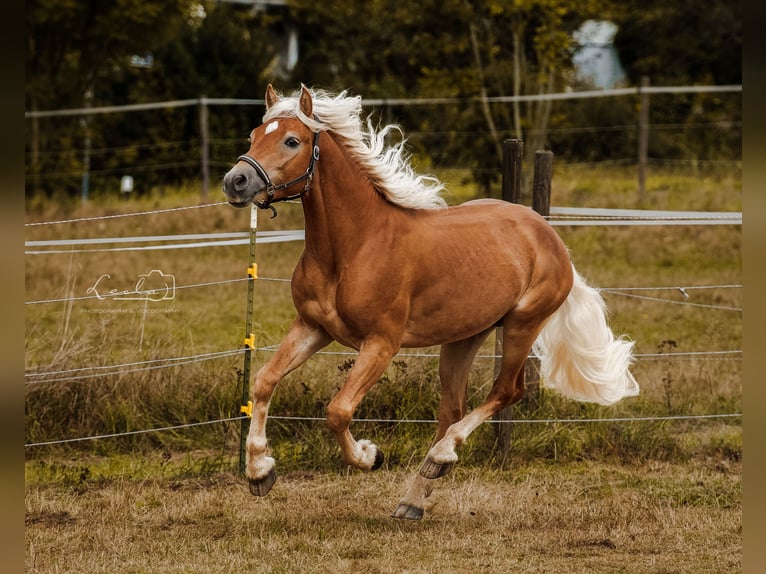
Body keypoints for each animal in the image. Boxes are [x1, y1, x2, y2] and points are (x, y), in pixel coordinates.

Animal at [224, 84, 640, 520]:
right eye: (254, 135)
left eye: (292, 140)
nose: (236, 181)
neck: (353, 247)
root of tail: (548, 235)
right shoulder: (313, 327)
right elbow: (264, 380)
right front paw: (260, 473)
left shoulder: (381, 344)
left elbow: (338, 411)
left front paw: (370, 456)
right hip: (464, 337)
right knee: (452, 409)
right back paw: (416, 495)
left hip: (522, 325)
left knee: (506, 392)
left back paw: (440, 458)